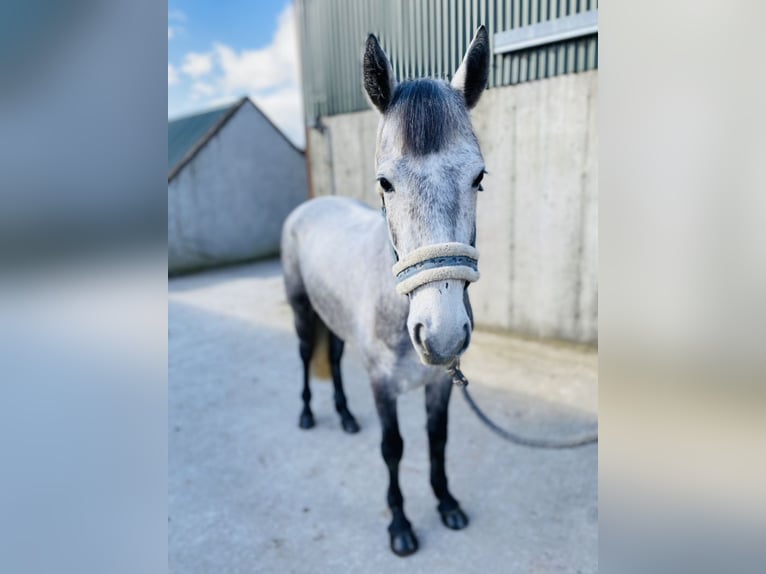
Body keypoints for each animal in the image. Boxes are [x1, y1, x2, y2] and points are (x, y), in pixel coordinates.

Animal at [282, 27, 492, 560]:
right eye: (385, 182)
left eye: (479, 178)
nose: (441, 336)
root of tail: (309, 205)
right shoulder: (382, 384)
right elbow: (393, 449)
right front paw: (400, 525)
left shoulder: (439, 384)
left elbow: (437, 441)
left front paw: (447, 503)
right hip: (302, 312)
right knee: (306, 357)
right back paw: (308, 414)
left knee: (334, 360)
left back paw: (344, 416)